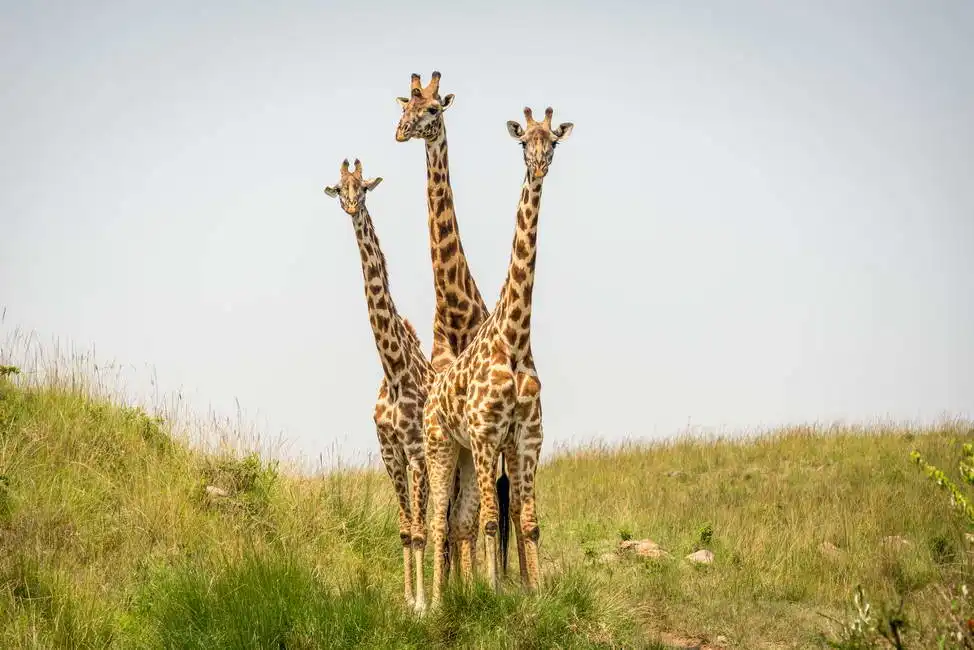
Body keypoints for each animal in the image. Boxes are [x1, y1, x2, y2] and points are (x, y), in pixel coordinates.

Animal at [422, 106, 574, 606]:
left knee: (460, 519)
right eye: (523, 140)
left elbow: (528, 522)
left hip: (467, 454)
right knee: (439, 520)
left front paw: (535, 592)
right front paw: (492, 593)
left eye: (554, 141)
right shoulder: (488, 434)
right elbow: (490, 521)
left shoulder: (527, 437)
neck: (515, 338)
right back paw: (435, 603)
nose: (539, 165)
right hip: (441, 446)